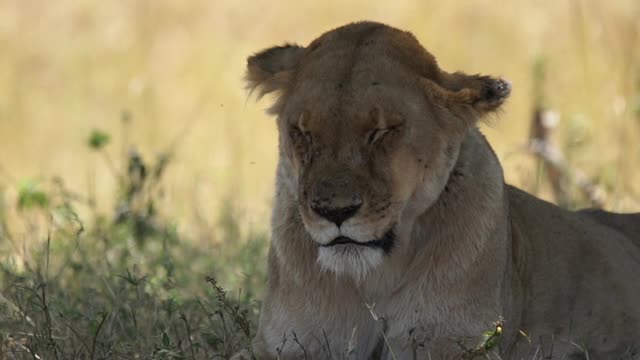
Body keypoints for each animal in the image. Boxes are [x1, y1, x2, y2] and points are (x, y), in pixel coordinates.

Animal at [242, 21, 640, 358]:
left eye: (382, 131)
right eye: (302, 132)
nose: (334, 212)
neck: (374, 276)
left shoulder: (455, 342)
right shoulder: (287, 342)